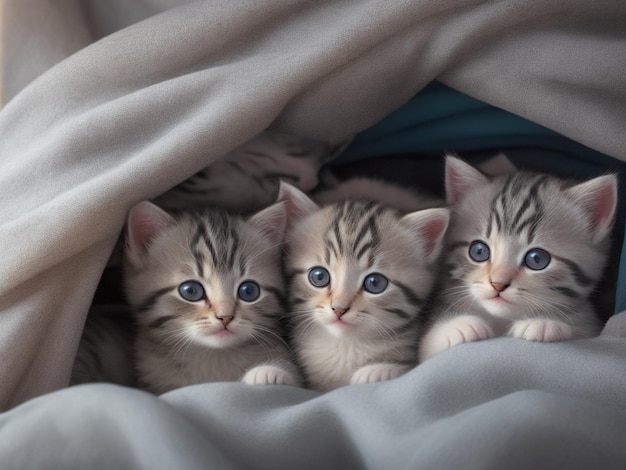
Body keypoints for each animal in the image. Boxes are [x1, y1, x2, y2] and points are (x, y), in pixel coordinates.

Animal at [416, 156, 616, 362]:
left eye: (537, 259)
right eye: (479, 251)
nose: (498, 284)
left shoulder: (590, 323)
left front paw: (545, 323)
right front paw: (457, 327)